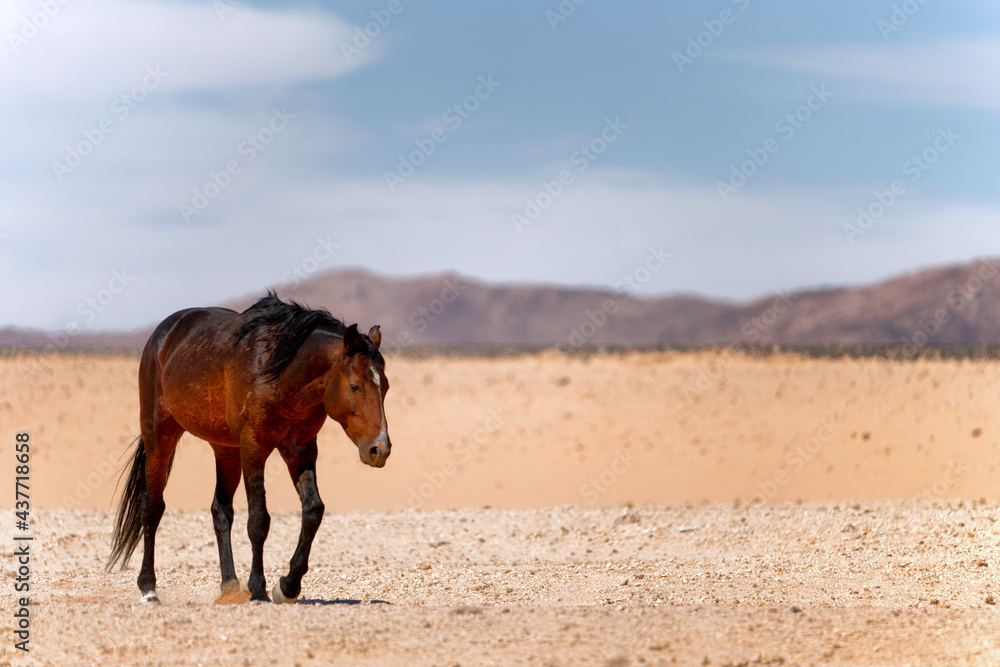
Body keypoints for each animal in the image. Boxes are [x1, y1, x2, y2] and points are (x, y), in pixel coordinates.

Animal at [104, 292, 390, 604]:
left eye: (385, 387)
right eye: (355, 386)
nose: (380, 448)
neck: (281, 374)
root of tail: (162, 335)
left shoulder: (299, 448)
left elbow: (313, 510)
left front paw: (287, 586)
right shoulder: (253, 446)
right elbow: (258, 519)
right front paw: (259, 589)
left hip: (224, 449)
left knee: (220, 511)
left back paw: (229, 585)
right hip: (161, 436)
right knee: (152, 507)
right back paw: (148, 589)